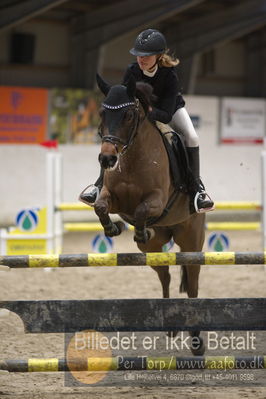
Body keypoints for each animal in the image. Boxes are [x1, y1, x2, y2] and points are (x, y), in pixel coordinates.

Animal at [93, 74, 206, 356]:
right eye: (102, 113)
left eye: (128, 115)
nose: (107, 159)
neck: (133, 157)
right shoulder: (113, 198)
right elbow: (101, 206)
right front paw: (114, 229)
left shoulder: (158, 199)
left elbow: (143, 209)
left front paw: (141, 229)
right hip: (153, 250)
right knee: (165, 275)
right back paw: (170, 326)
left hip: (192, 242)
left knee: (193, 284)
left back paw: (197, 341)